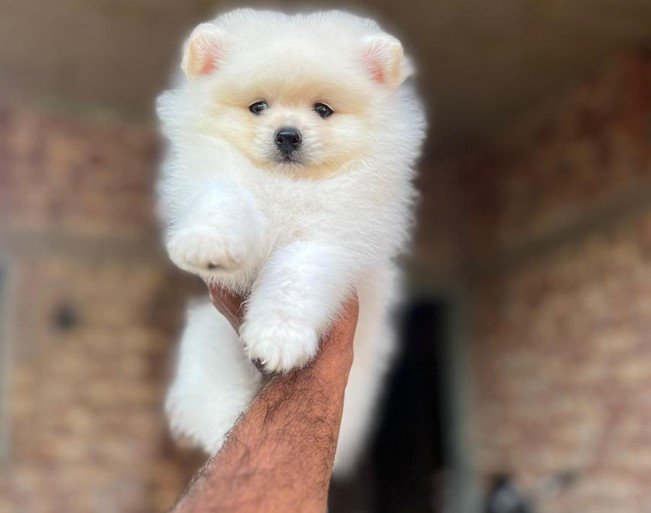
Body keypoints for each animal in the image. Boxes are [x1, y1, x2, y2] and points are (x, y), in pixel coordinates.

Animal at [155, 8, 426, 474]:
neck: (287, 186)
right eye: (257, 106)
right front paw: (208, 243)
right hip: (210, 349)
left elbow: (295, 277)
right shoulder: (219, 178)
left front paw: (278, 336)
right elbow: (226, 200)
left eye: (323, 110)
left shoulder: (333, 238)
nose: (287, 134)